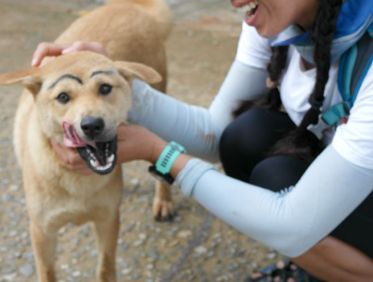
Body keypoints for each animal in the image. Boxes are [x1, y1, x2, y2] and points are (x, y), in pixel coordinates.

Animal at [0, 1, 172, 280]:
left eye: (105, 88)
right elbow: (47, 272)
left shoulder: (107, 220)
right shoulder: (42, 231)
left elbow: (105, 267)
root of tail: (130, 6)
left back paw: (164, 201)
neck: (78, 180)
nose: (92, 125)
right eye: (62, 97)